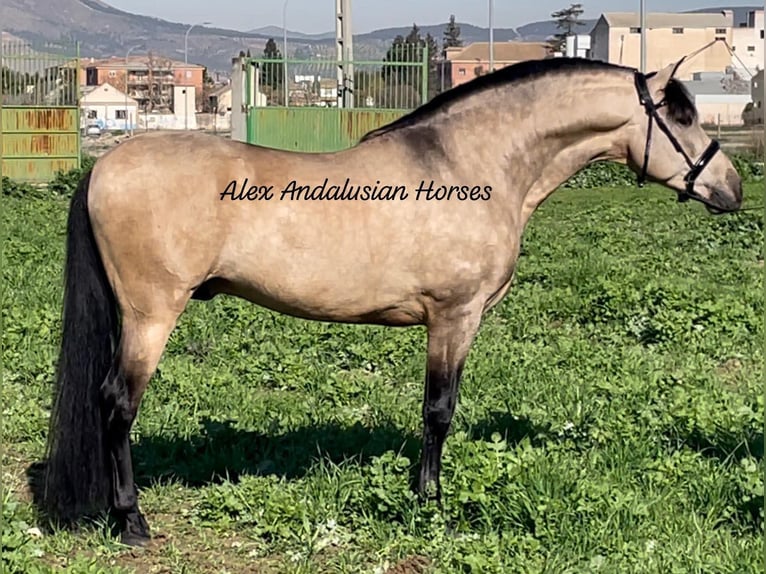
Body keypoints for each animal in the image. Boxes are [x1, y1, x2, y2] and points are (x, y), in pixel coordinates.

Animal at [40, 56, 744, 548]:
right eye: (681, 116)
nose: (732, 188)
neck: (470, 164)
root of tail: (104, 167)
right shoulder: (454, 318)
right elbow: (439, 411)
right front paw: (430, 503)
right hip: (151, 316)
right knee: (117, 404)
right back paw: (131, 521)